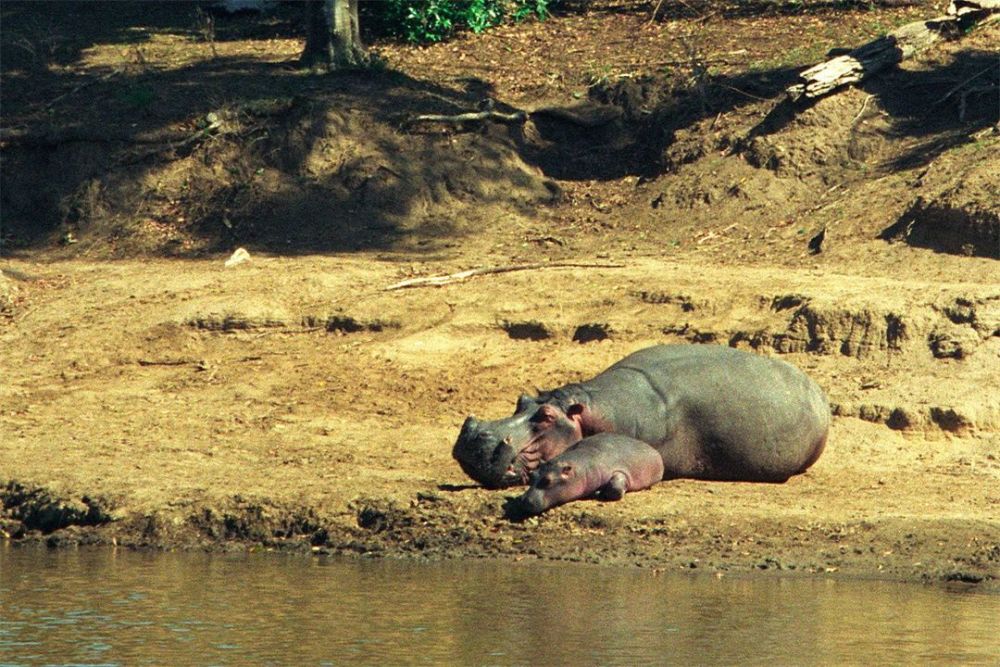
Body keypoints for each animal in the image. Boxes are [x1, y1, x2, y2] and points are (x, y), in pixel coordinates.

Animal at [516, 434, 664, 516]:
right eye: (532, 475)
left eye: (548, 480)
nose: (524, 500)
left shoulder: (618, 469)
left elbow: (615, 487)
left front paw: (600, 493)